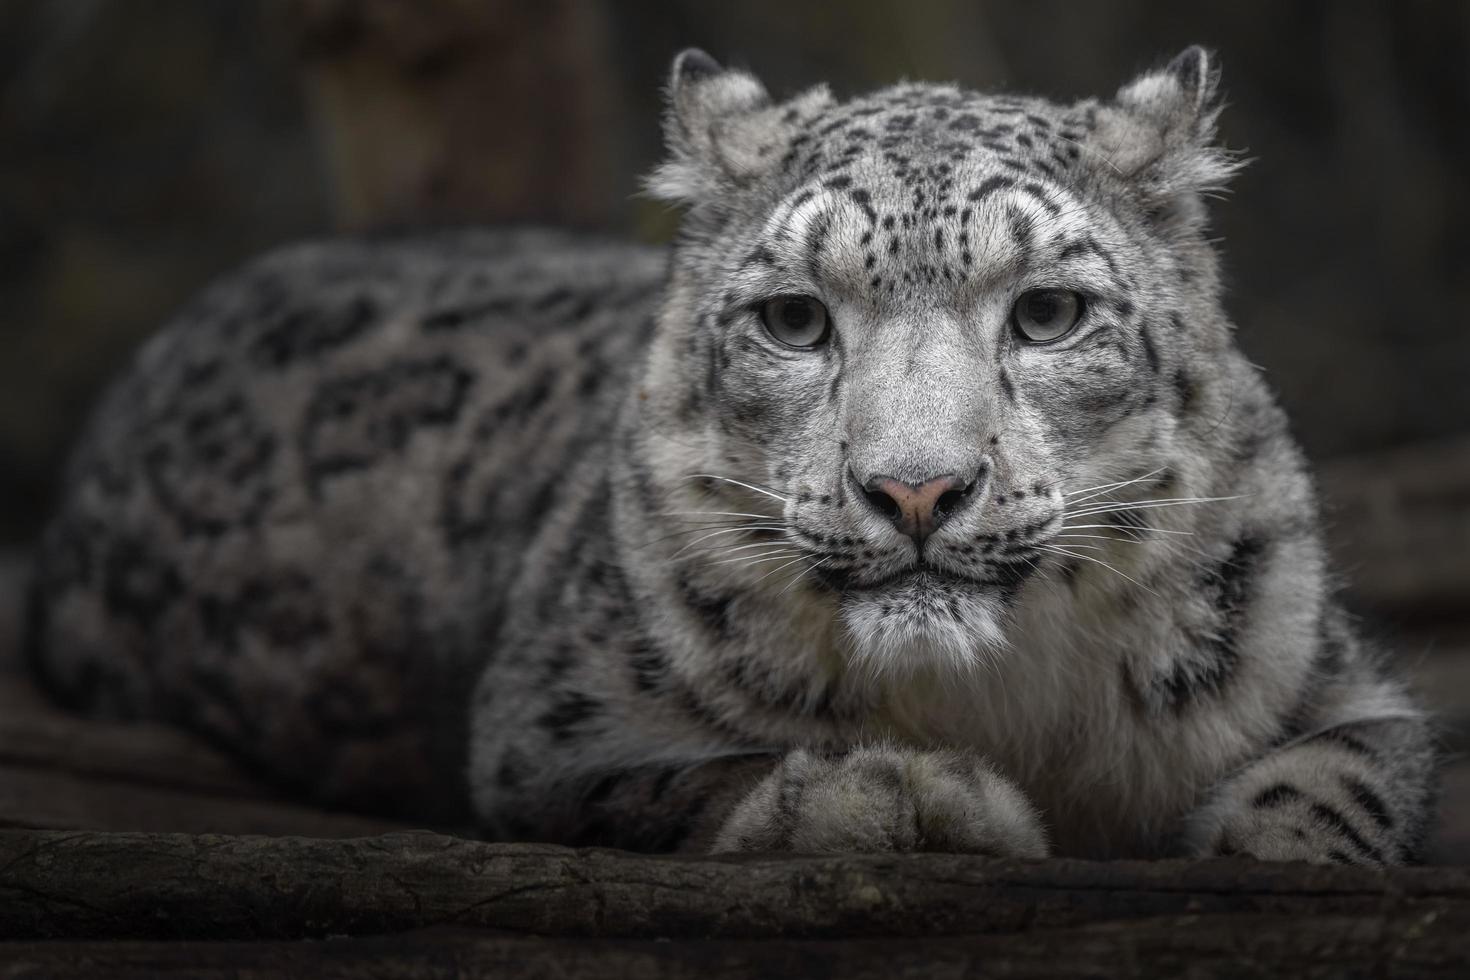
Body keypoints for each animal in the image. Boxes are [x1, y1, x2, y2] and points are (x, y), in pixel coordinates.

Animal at [25, 47, 1434, 858]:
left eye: (1047, 312)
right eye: (794, 320)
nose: (915, 487)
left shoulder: (1322, 666)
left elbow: (1356, 772)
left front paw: (1273, 844)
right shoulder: (562, 718)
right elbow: (684, 778)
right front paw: (894, 796)